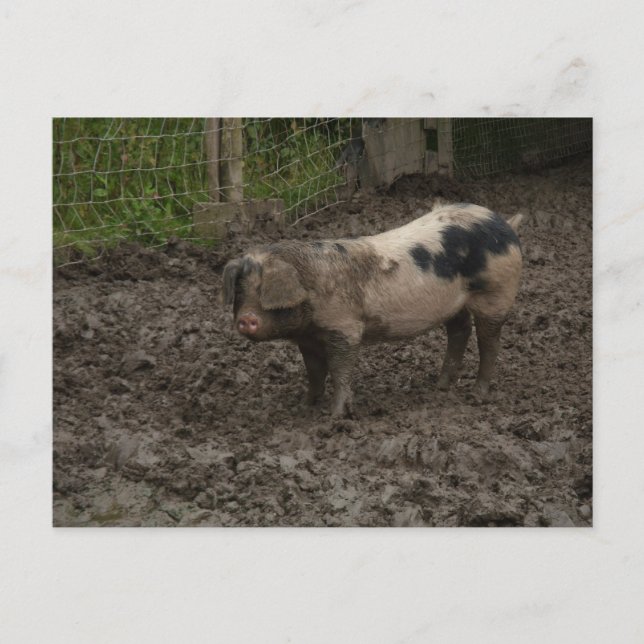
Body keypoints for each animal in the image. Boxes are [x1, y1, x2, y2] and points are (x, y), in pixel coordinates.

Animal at [221, 203, 523, 417]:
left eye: (264, 289)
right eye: (241, 291)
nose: (246, 319)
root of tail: (503, 223)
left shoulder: (345, 327)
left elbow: (340, 370)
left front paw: (335, 417)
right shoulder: (308, 338)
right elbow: (315, 372)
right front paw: (304, 406)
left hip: (496, 293)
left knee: (489, 342)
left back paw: (476, 395)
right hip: (454, 303)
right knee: (459, 330)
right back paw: (440, 385)